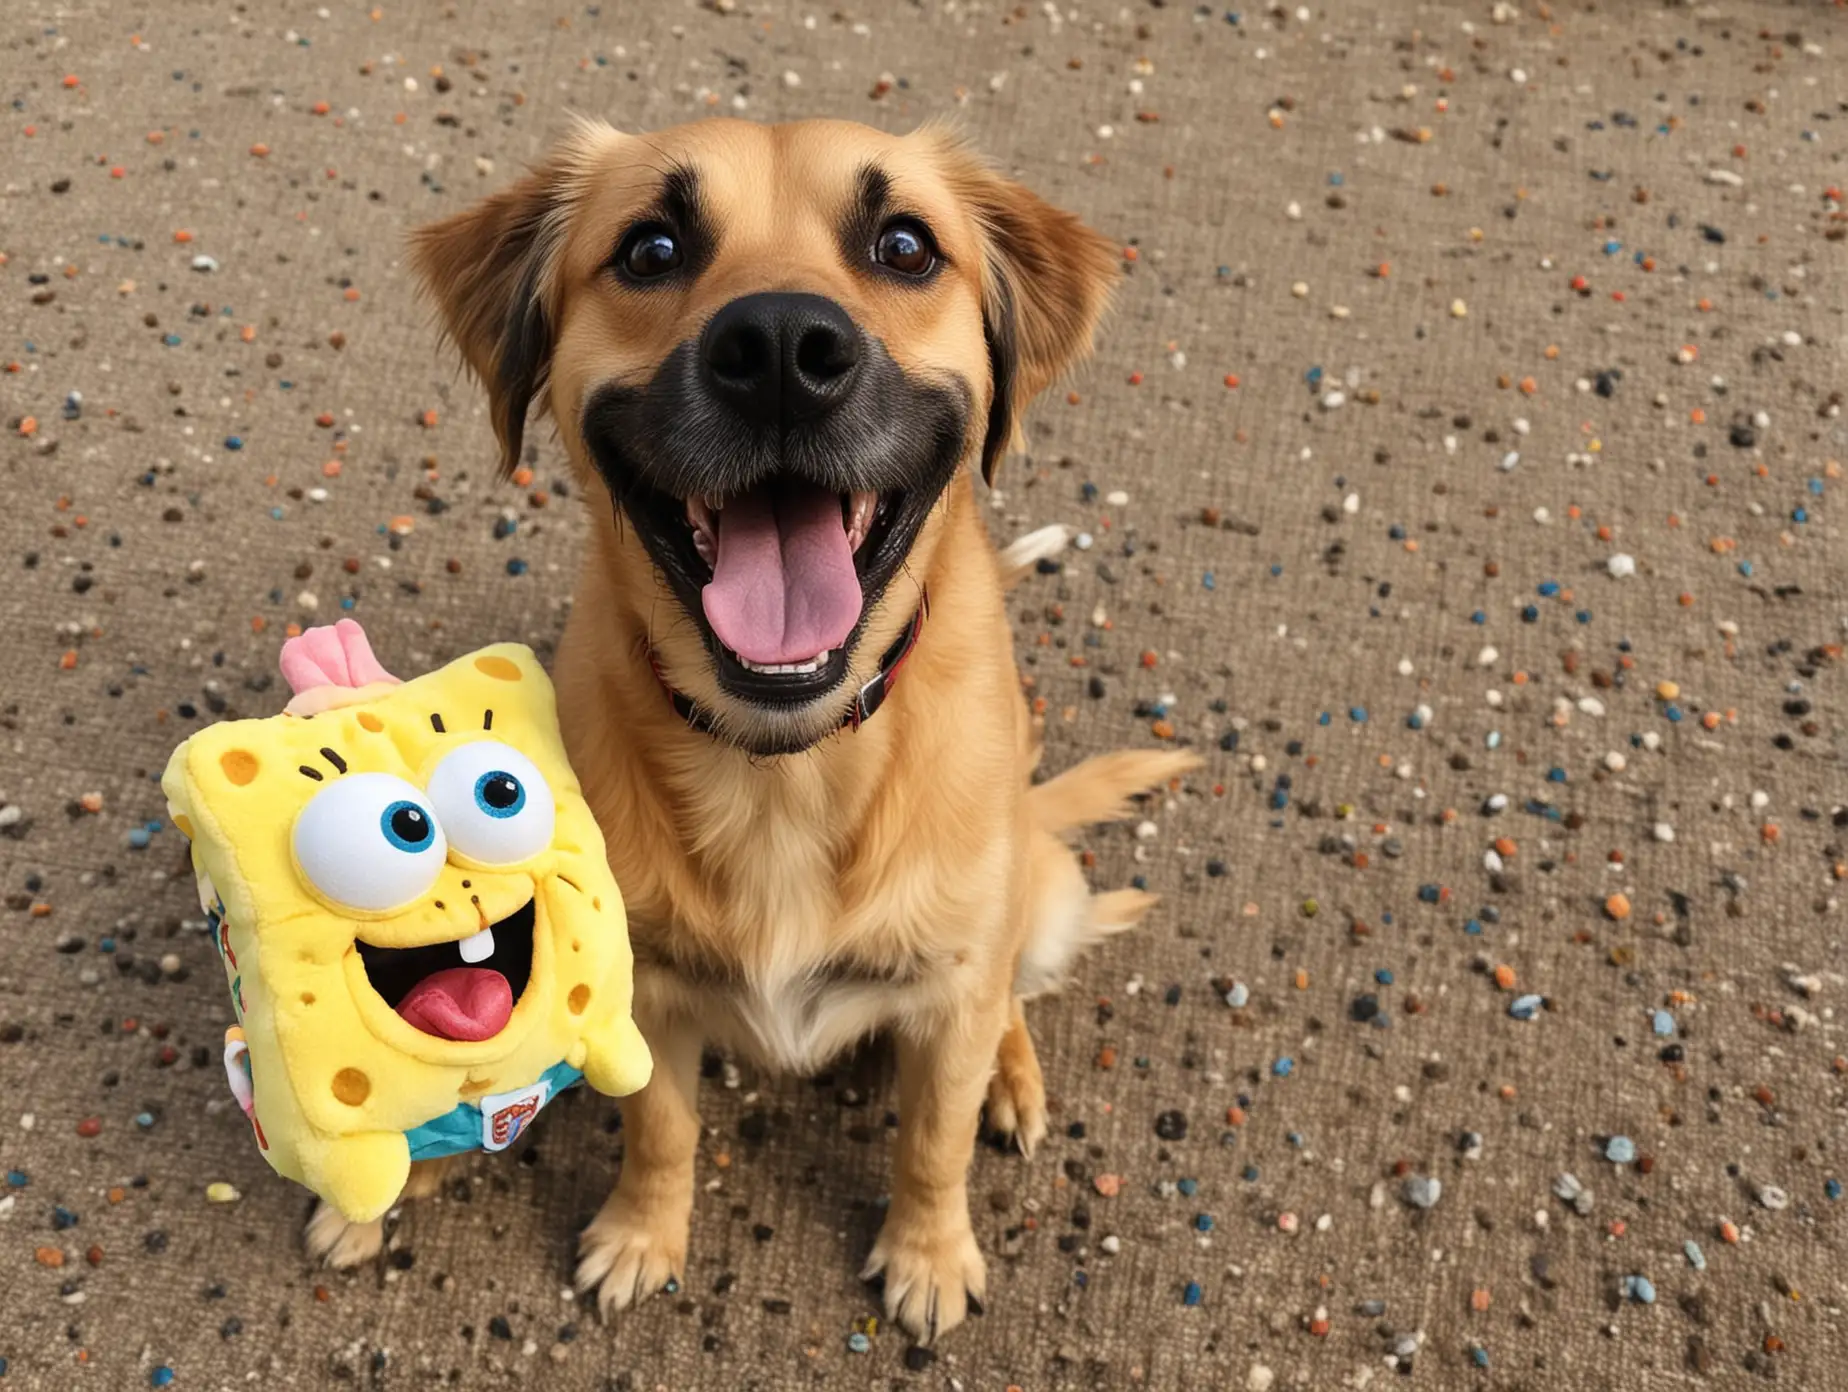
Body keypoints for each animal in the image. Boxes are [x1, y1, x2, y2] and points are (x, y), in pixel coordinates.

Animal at [308, 122, 1190, 1345]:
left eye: (906, 245)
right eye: (652, 248)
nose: (779, 350)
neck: (786, 768)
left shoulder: (950, 991)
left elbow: (932, 1143)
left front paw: (928, 1253)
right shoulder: (644, 994)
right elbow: (662, 1130)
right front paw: (643, 1233)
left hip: (1037, 904)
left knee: (1011, 998)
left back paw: (1010, 1079)